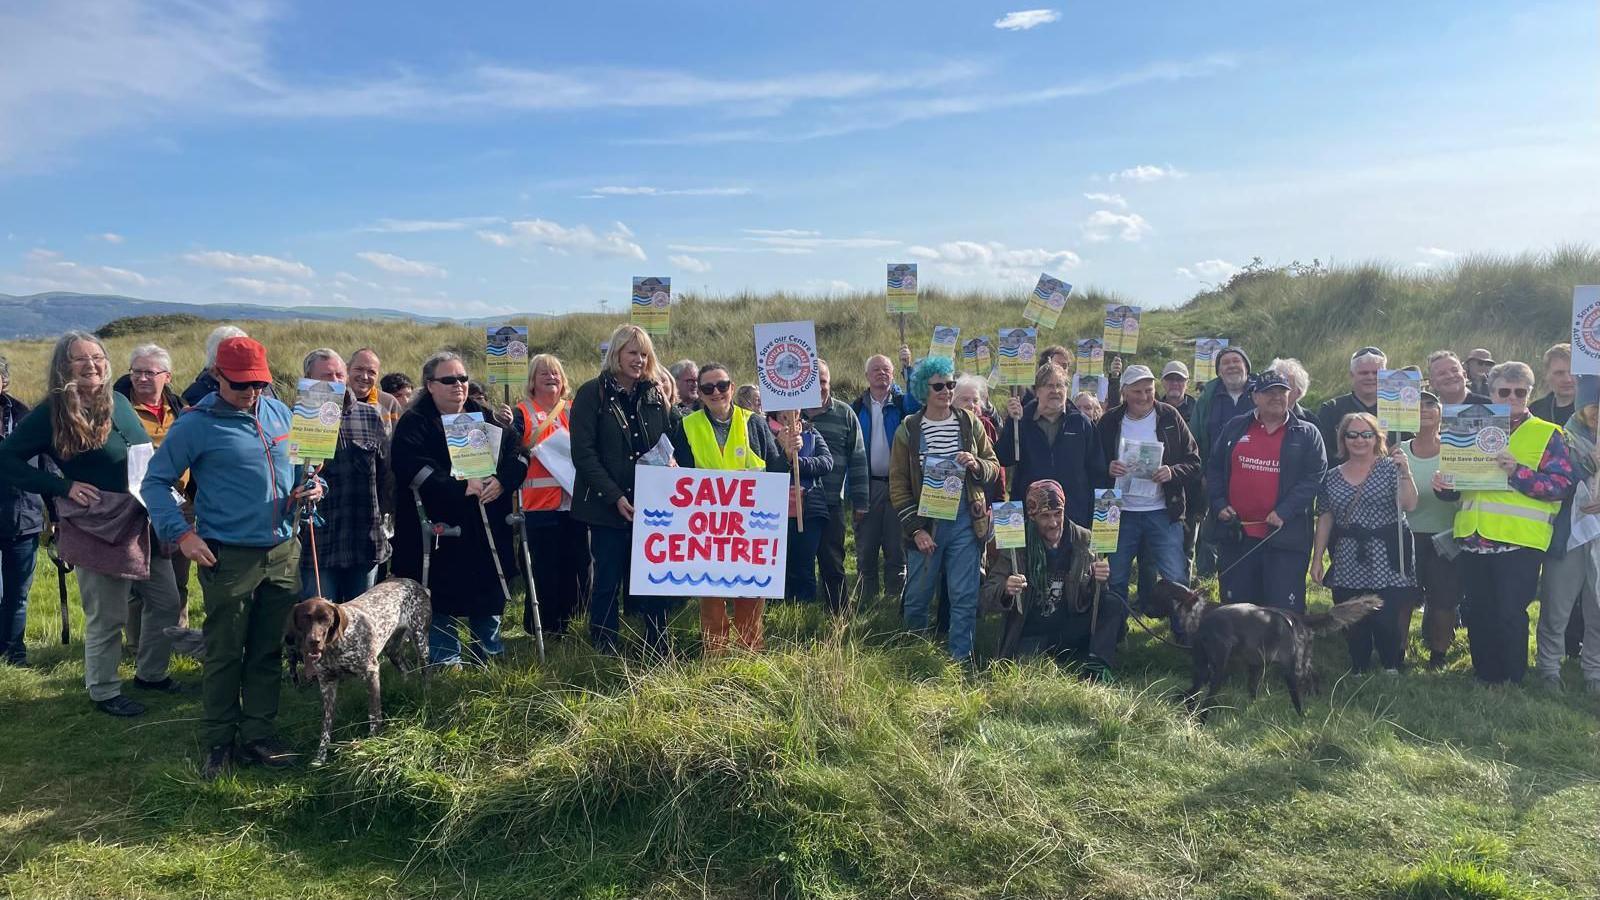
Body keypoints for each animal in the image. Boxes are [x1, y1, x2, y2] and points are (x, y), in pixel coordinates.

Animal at [284, 576, 428, 759]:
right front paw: (321, 756)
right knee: (405, 669)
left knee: (425, 673)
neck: (334, 647)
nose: (314, 641)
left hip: (421, 641)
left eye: (326, 618)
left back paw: (426, 696)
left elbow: (374, 714)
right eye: (305, 618)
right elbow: (326, 725)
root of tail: (413, 582)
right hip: (392, 650)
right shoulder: (327, 684)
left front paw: (374, 741)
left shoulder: (371, 673)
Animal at [1145, 573, 1382, 720]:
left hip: (1291, 667)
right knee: (1313, 677)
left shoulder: (1214, 667)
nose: (1140, 605)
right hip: (1300, 661)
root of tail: (1299, 618)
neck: (1195, 609)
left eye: (1153, 596)